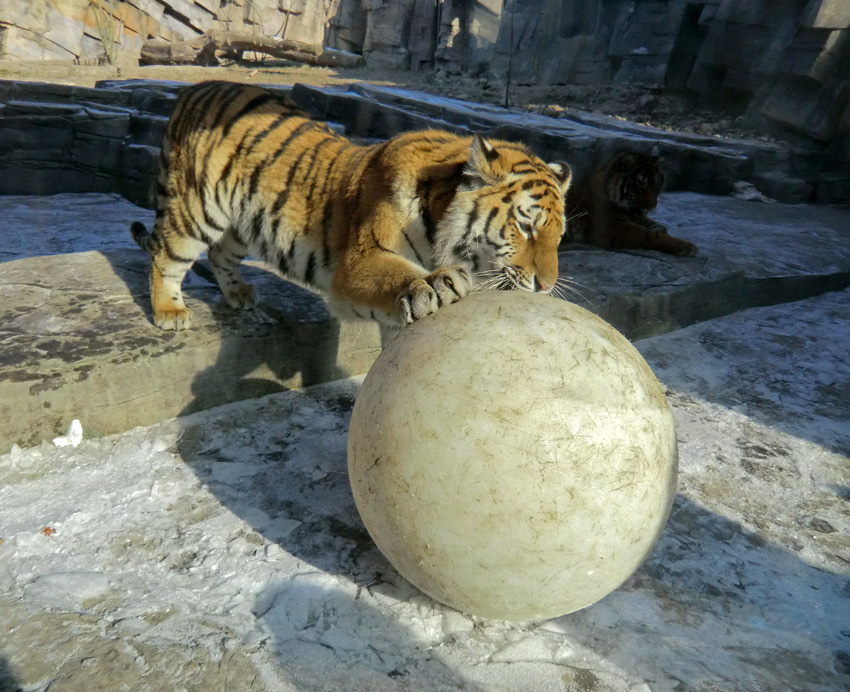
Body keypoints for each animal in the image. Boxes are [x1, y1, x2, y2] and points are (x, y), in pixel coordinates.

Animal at [131, 80, 568, 330]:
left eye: (559, 238)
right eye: (526, 227)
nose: (546, 287)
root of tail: (194, 88)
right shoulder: (361, 258)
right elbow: (396, 274)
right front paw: (433, 283)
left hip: (243, 222)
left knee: (220, 254)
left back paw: (238, 294)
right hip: (197, 209)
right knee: (165, 256)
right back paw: (169, 313)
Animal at [560, 151, 692, 256]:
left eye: (656, 185)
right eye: (640, 188)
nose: (651, 207)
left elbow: (654, 224)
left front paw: (660, 228)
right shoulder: (615, 227)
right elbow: (651, 235)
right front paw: (687, 246)